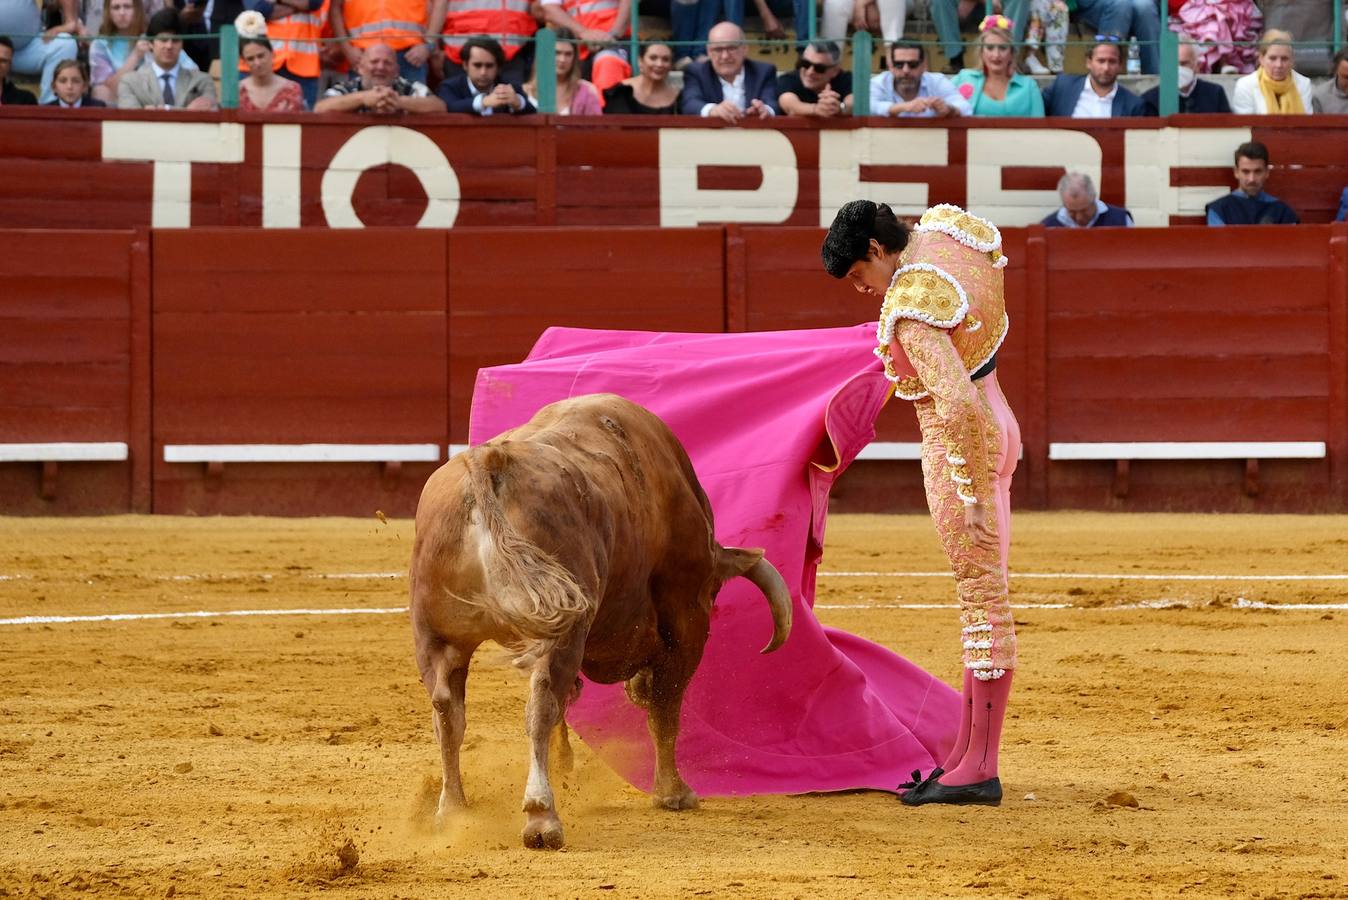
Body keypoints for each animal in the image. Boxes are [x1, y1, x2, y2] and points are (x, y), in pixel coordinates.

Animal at [409, 393, 787, 851]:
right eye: (712, 592)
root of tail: (490, 462)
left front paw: (566, 762)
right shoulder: (685, 621)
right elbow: (667, 706)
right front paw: (674, 793)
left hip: (437, 636)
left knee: (448, 712)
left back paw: (453, 810)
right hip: (562, 631)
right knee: (541, 703)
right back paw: (542, 817)